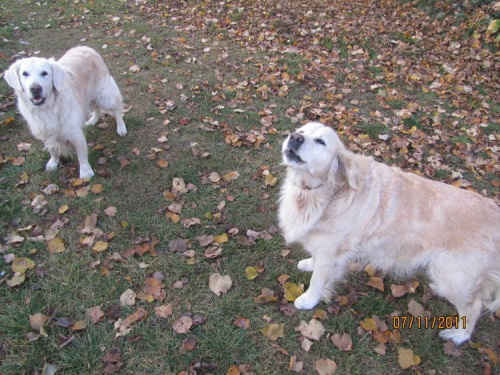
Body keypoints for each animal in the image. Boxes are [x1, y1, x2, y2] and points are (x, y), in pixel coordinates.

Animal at [3, 46, 128, 179]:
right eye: (25, 74)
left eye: (44, 73)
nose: (35, 88)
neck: (47, 109)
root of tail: (86, 47)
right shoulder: (44, 132)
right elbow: (52, 149)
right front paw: (53, 162)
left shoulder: (75, 133)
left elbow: (81, 155)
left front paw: (85, 172)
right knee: (96, 108)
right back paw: (93, 120)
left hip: (105, 95)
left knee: (117, 109)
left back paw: (121, 128)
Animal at [280, 122, 500, 346]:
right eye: (302, 131)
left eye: (321, 141)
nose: (295, 137)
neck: (320, 192)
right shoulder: (325, 247)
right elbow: (315, 260)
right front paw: (309, 263)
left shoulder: (330, 252)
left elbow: (317, 281)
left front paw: (308, 300)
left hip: (452, 277)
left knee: (474, 306)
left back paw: (459, 335)